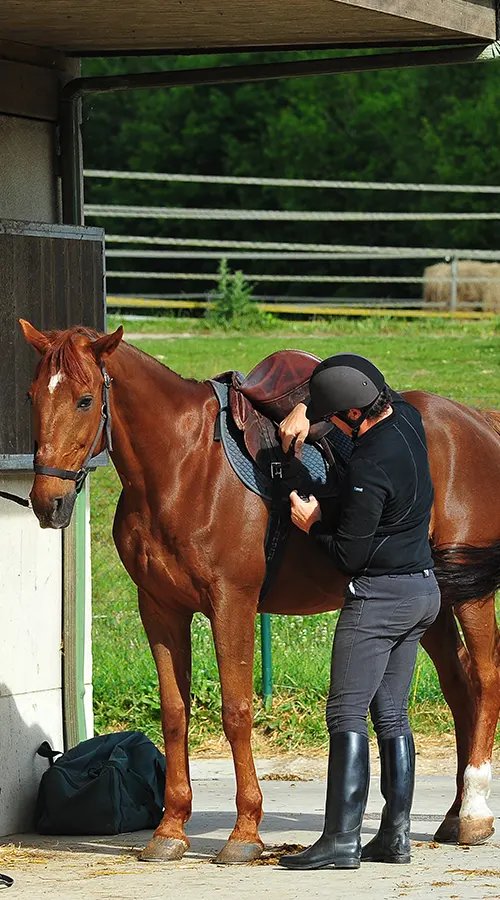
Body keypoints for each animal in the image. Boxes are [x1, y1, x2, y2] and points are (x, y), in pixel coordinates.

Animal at [22, 322, 500, 864]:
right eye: (33, 396)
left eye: (85, 400)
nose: (47, 501)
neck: (184, 466)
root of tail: (476, 420)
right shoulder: (160, 610)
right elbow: (174, 714)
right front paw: (170, 830)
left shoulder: (232, 603)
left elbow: (236, 710)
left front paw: (244, 831)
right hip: (433, 603)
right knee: (460, 687)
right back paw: (454, 816)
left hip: (470, 596)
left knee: (485, 680)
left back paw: (475, 813)